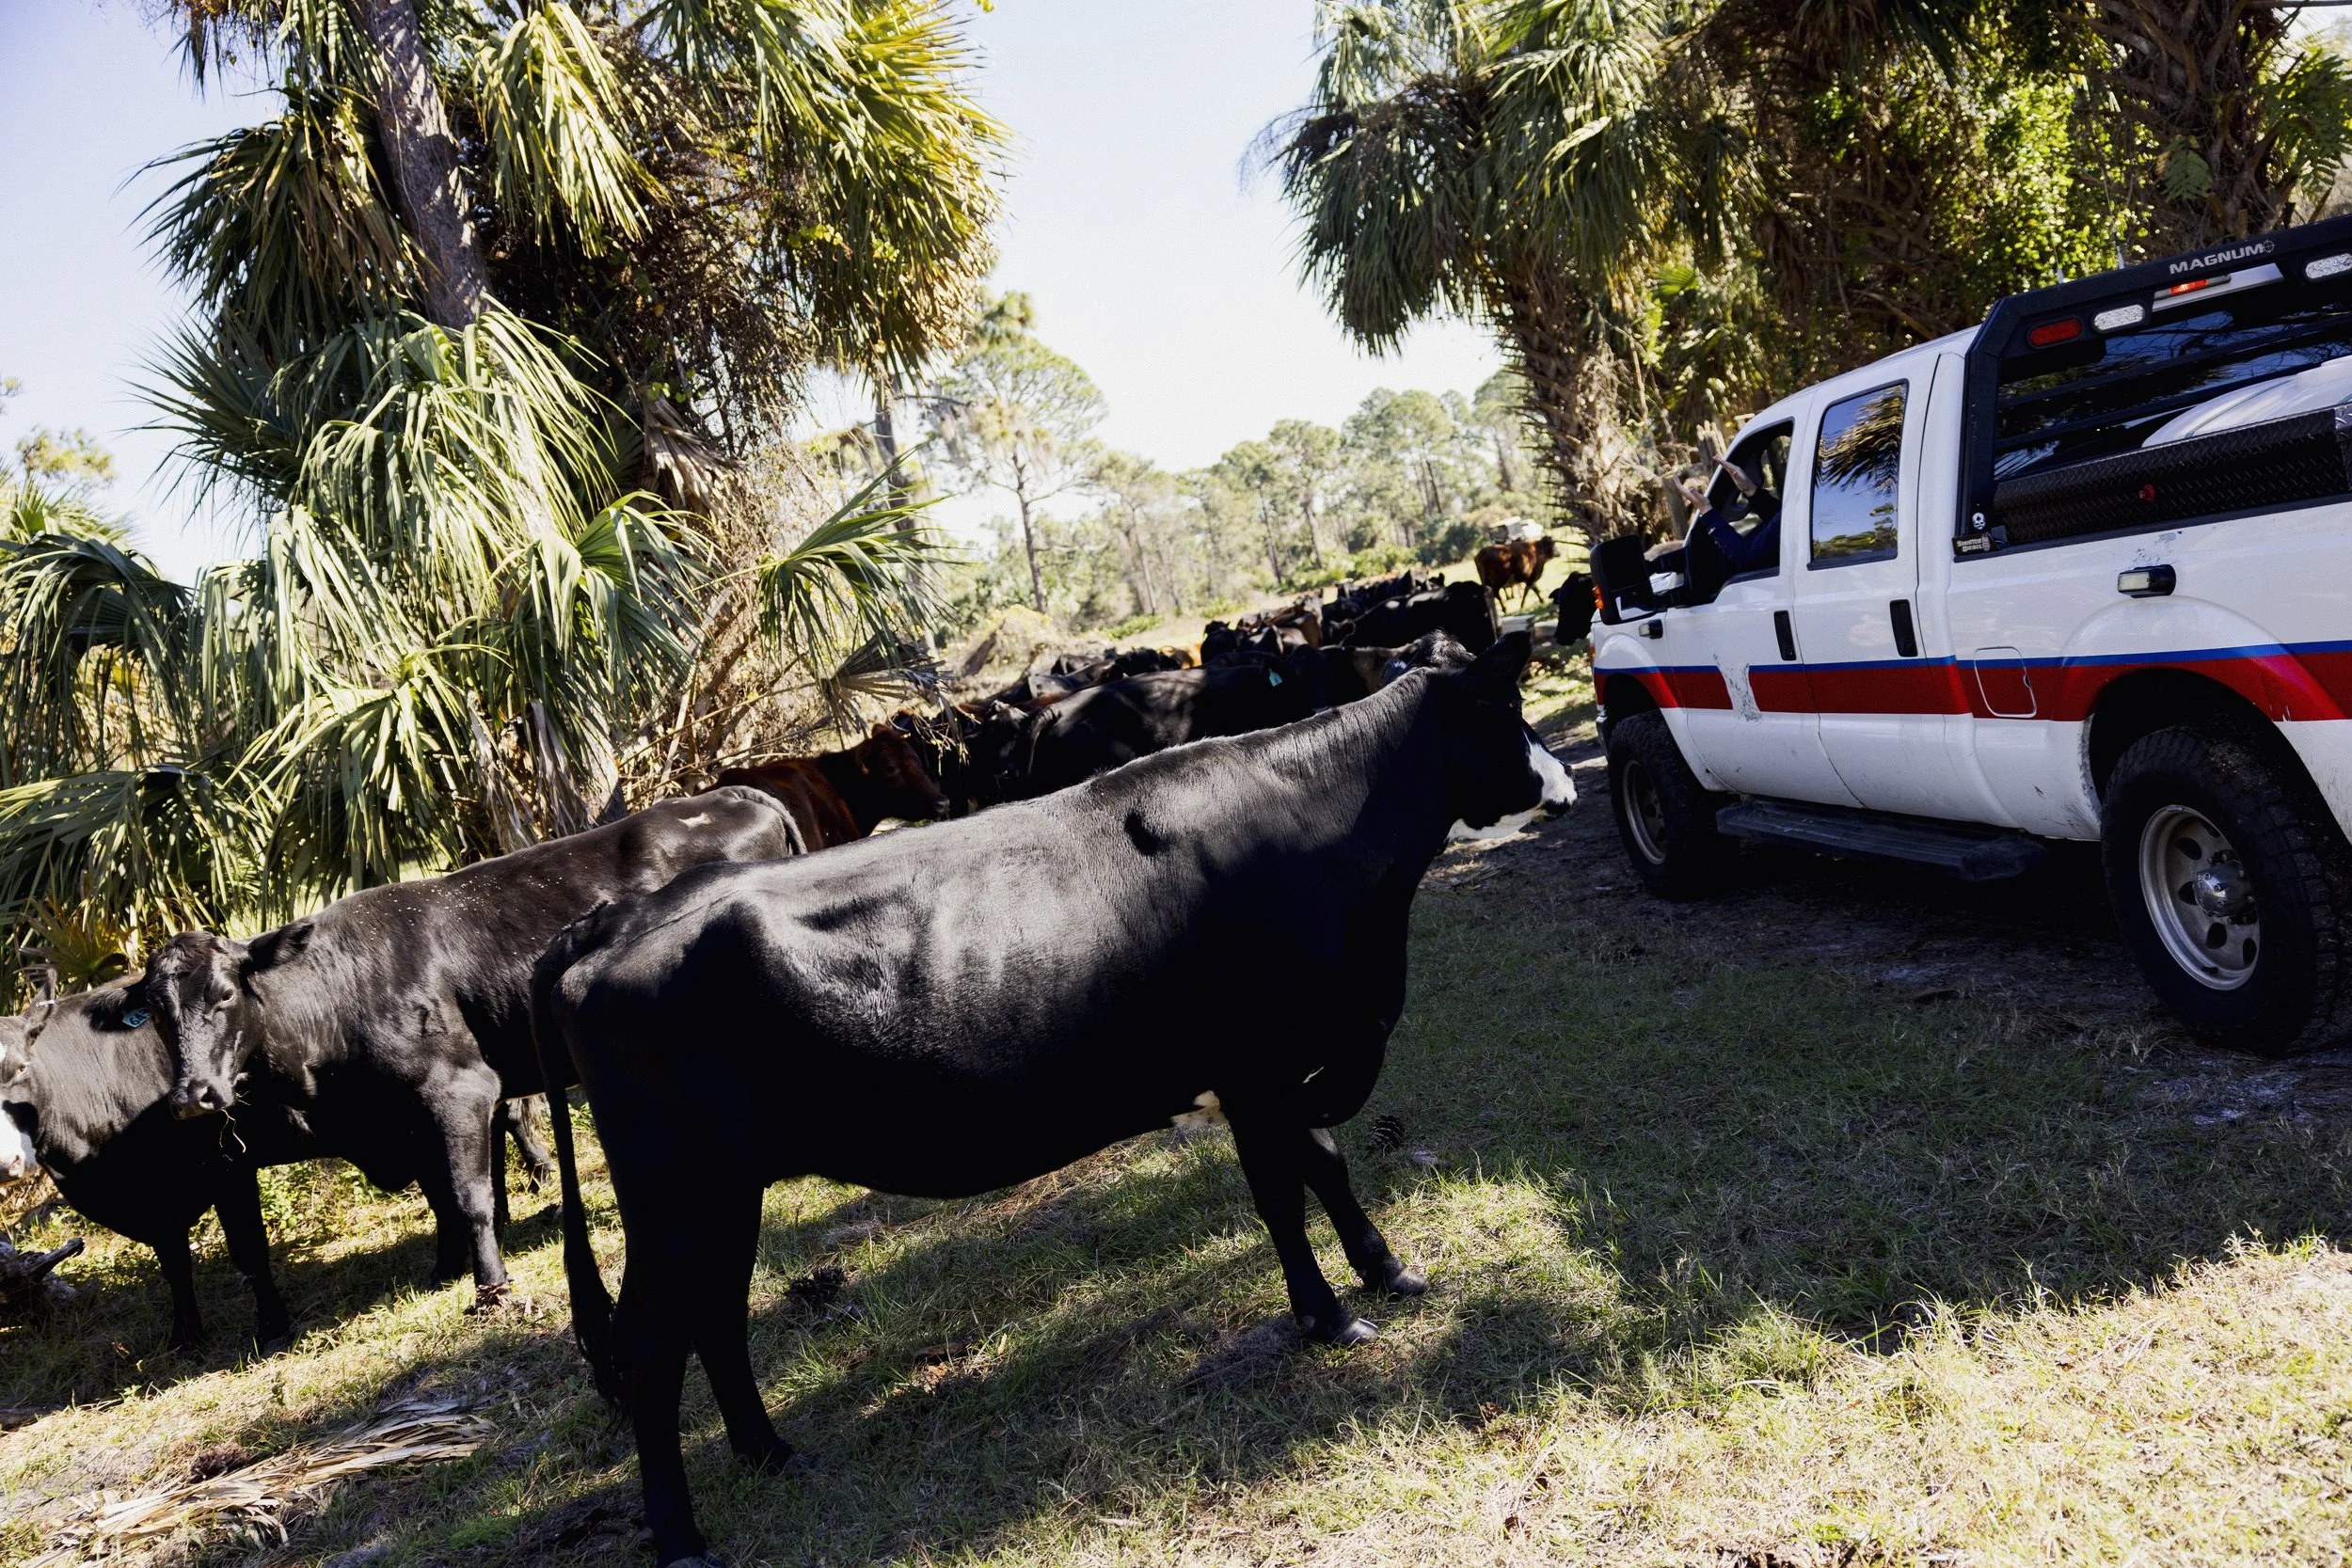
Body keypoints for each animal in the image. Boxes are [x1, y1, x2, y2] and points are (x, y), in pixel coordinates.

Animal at [138, 790, 803, 1311]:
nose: (192, 1097)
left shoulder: (458, 1089)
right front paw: (444, 1268)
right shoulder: (411, 1118)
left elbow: (469, 1196)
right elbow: (439, 1197)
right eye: (156, 1016)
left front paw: (491, 1285)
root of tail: (730, 793)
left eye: (224, 994)